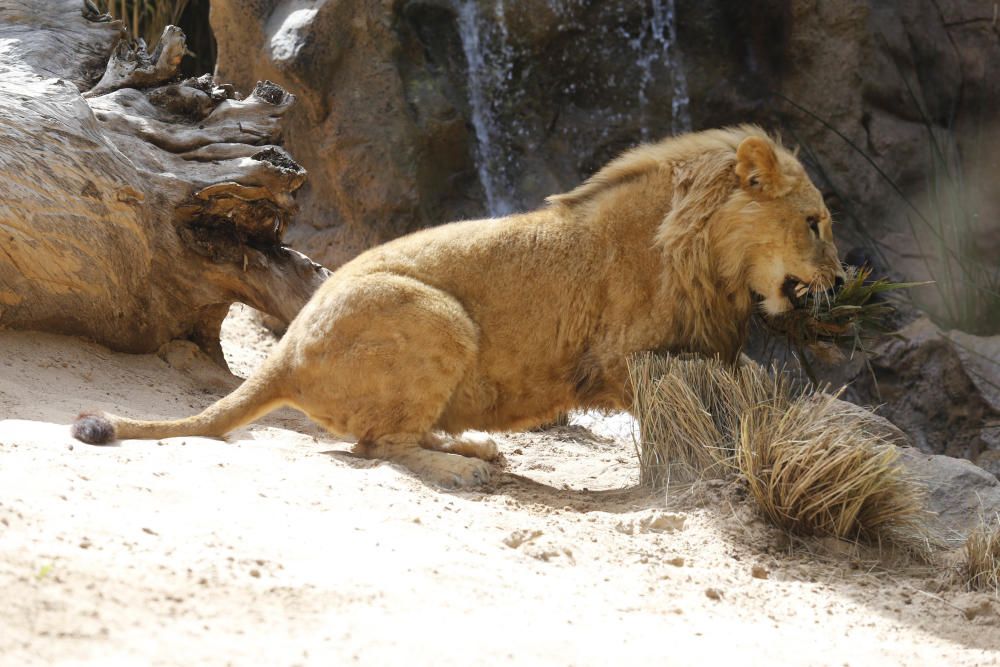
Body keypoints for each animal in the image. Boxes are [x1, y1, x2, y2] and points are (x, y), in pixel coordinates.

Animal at [72, 126, 844, 490]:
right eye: (815, 222)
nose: (839, 281)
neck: (702, 246)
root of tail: (286, 351)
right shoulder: (625, 359)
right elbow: (737, 394)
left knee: (389, 436)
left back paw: (471, 446)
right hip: (437, 314)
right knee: (376, 448)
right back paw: (461, 468)